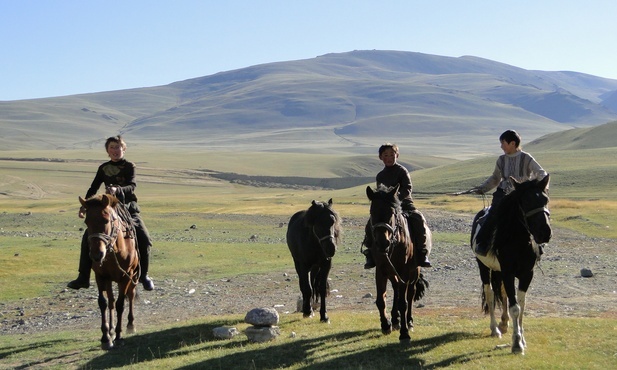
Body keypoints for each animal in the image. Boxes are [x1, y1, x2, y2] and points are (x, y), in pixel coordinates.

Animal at [79, 194, 139, 350]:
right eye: (86, 221)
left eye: (106, 220)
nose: (96, 255)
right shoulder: (101, 276)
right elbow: (103, 303)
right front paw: (106, 337)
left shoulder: (125, 277)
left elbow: (120, 304)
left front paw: (118, 336)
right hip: (110, 280)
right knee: (111, 301)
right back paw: (111, 330)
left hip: (133, 276)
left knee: (130, 296)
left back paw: (130, 325)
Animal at [364, 185, 426, 344]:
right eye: (371, 212)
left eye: (391, 212)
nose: (382, 243)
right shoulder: (381, 269)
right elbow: (381, 299)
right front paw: (386, 325)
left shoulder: (404, 271)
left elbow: (403, 303)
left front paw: (404, 334)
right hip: (393, 272)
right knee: (397, 288)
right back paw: (395, 319)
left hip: (414, 272)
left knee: (410, 294)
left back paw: (409, 322)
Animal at [470, 175, 552, 354]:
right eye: (526, 201)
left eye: (546, 199)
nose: (545, 233)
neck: (518, 241)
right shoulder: (508, 272)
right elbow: (515, 308)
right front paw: (516, 344)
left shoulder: (527, 274)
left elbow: (521, 305)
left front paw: (522, 338)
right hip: (483, 267)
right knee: (490, 294)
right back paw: (495, 329)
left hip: (498, 271)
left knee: (502, 294)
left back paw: (504, 322)